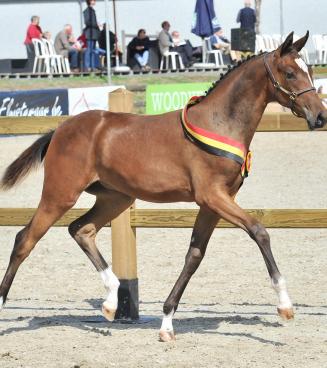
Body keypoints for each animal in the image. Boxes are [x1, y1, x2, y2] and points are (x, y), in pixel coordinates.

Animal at [0, 33, 326, 340]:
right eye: (290, 73)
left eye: (310, 70)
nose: (320, 116)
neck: (218, 122)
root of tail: (59, 129)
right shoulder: (213, 196)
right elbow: (259, 231)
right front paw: (285, 306)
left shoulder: (214, 203)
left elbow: (194, 255)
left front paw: (167, 324)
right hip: (60, 194)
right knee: (25, 239)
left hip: (115, 198)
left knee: (81, 229)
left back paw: (111, 301)